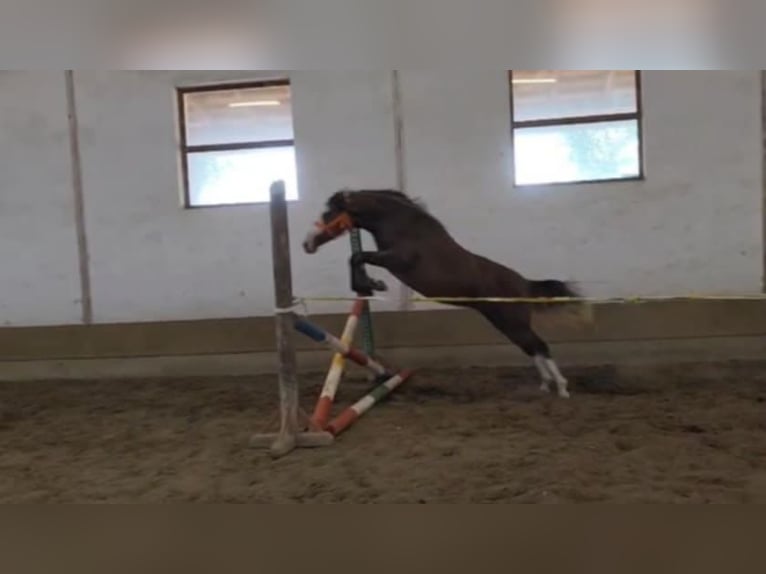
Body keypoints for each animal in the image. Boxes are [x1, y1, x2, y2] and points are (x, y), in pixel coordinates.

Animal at [302, 189, 584, 398]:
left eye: (328, 213)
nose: (307, 244)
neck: (401, 225)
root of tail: (524, 284)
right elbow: (357, 258)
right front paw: (369, 285)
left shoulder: (398, 260)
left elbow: (357, 256)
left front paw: (373, 284)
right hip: (507, 324)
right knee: (533, 349)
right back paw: (545, 385)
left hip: (511, 322)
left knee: (540, 346)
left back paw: (562, 388)